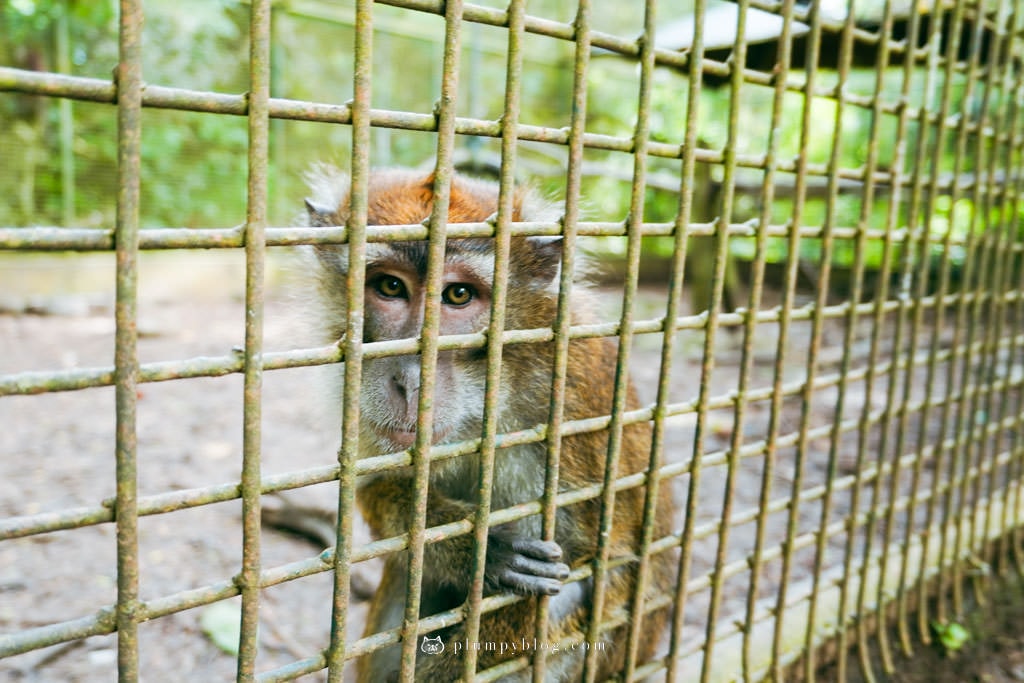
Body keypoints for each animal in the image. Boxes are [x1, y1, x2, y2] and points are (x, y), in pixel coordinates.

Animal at [299, 166, 675, 683]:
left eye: (458, 295)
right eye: (390, 287)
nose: (413, 381)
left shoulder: (576, 397)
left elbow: (612, 575)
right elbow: (379, 487)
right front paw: (480, 552)